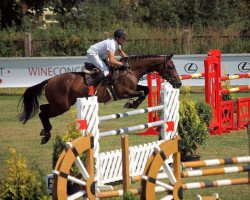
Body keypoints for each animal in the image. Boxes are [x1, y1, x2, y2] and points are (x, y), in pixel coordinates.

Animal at [17, 54, 182, 144]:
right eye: (170, 67)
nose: (179, 83)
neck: (130, 70)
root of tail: (50, 80)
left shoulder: (135, 87)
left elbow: (145, 90)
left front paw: (133, 104)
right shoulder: (124, 92)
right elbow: (140, 94)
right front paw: (131, 104)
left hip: (63, 104)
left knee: (43, 109)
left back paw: (45, 133)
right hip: (61, 106)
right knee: (42, 112)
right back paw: (46, 134)